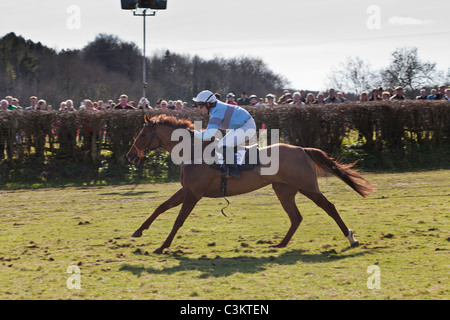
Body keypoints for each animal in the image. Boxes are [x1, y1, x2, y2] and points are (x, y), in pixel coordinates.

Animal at [125, 114, 374, 254]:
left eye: (143, 134)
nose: (130, 156)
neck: (194, 153)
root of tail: (303, 149)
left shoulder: (194, 193)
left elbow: (178, 221)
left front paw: (162, 246)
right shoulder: (186, 190)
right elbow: (161, 207)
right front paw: (138, 231)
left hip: (308, 187)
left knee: (329, 207)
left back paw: (351, 238)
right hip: (284, 190)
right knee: (296, 217)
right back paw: (280, 244)